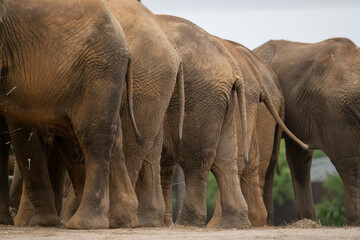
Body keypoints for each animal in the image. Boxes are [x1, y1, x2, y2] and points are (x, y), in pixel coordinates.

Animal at [156, 15, 252, 229]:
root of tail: (233, 66)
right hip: (221, 102)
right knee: (225, 161)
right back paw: (233, 224)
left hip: (200, 97)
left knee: (194, 160)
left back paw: (185, 225)